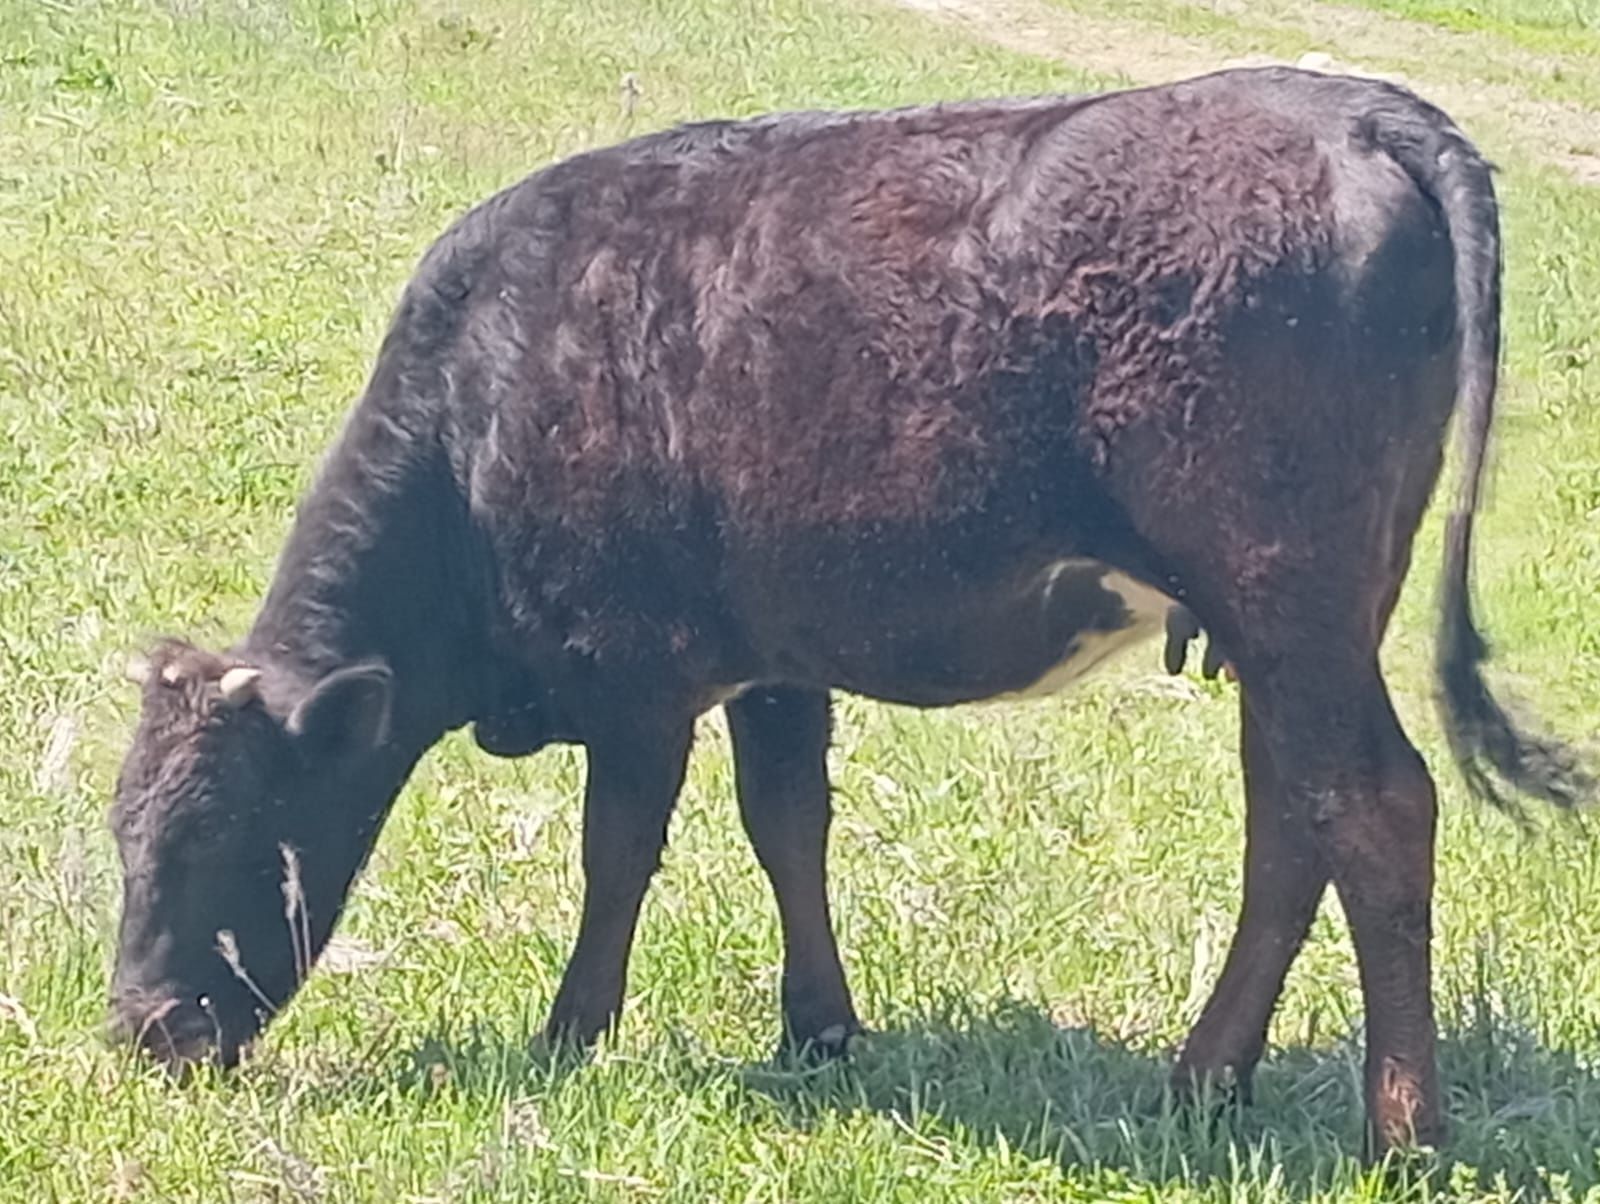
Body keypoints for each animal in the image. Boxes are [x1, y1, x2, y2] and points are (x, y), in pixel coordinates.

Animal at [109, 68, 1587, 1159]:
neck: (483, 406)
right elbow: (788, 826)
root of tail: (1356, 106)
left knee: (1374, 809)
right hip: (1296, 627)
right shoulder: (772, 656)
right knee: (1294, 818)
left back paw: (1400, 1137)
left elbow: (616, 851)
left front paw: (571, 1035)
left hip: (1290, 597)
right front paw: (819, 1032)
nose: (140, 1029)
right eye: (125, 833)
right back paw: (1199, 1081)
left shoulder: (638, 674)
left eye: (214, 830)